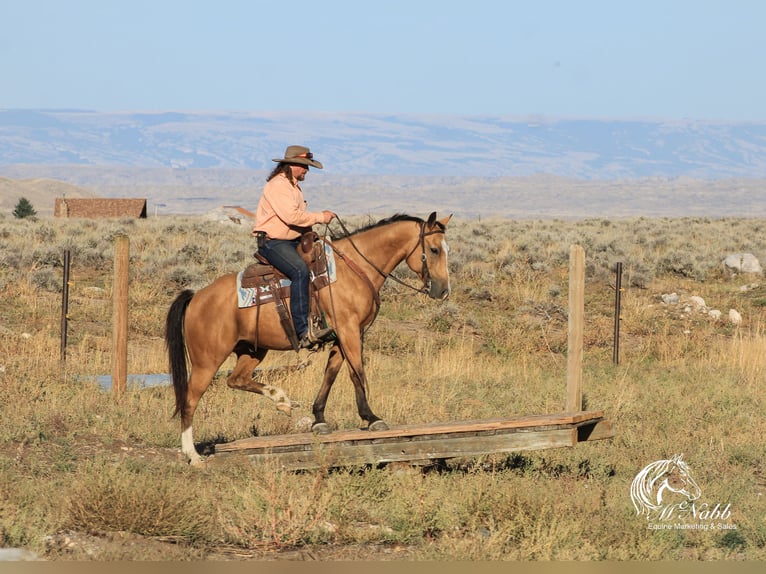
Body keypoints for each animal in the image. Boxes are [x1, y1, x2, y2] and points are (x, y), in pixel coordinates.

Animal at [162, 214, 450, 466]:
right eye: (434, 249)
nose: (443, 291)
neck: (354, 268)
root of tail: (196, 296)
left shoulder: (341, 336)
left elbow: (331, 373)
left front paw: (319, 418)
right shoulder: (349, 331)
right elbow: (356, 372)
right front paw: (371, 417)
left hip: (253, 350)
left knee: (237, 379)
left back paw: (281, 399)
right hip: (207, 361)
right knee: (190, 400)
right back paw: (193, 456)